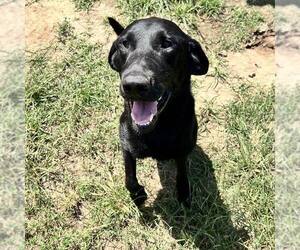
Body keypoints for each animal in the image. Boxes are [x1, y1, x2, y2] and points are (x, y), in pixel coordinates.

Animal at [108, 17, 209, 207]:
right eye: (124, 43)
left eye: (167, 43)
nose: (134, 85)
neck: (157, 129)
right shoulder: (125, 141)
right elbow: (129, 176)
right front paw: (138, 194)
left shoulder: (183, 147)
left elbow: (182, 170)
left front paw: (184, 193)